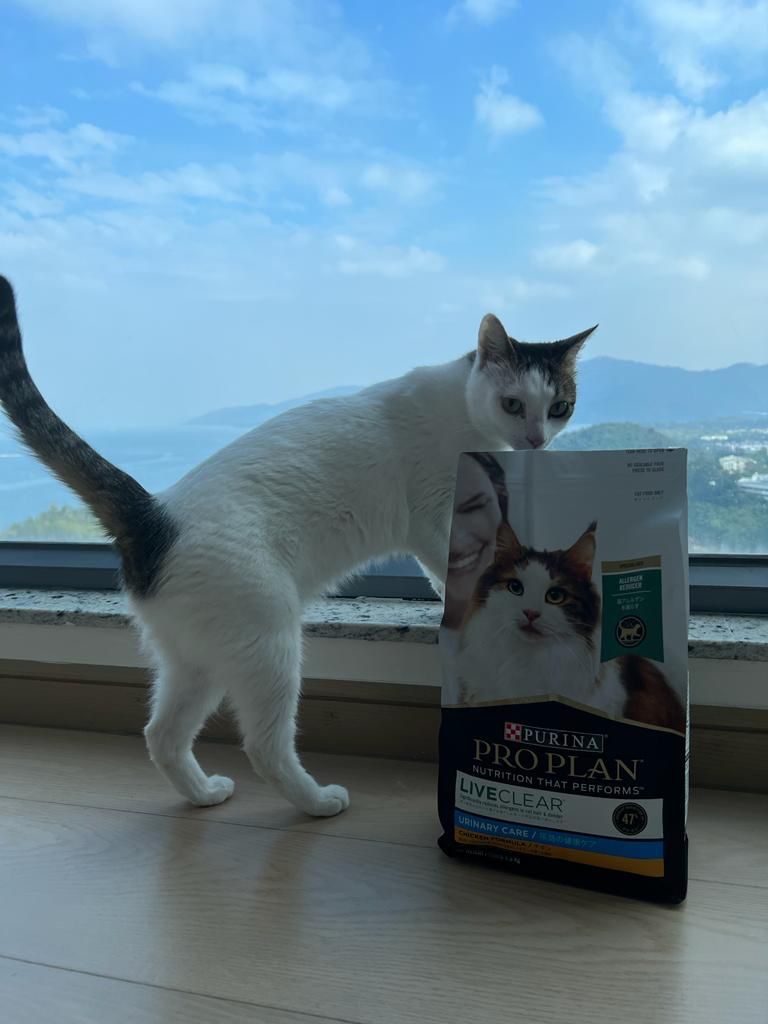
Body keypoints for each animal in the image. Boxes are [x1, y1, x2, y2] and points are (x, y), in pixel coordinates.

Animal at [0, 274, 594, 815]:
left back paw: (204, 795)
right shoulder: (430, 515)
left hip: (197, 663)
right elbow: (444, 566)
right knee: (264, 747)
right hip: (270, 646)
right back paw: (316, 801)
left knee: (161, 735)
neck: (461, 412)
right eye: (513, 403)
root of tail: (155, 515)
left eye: (559, 406)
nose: (536, 439)